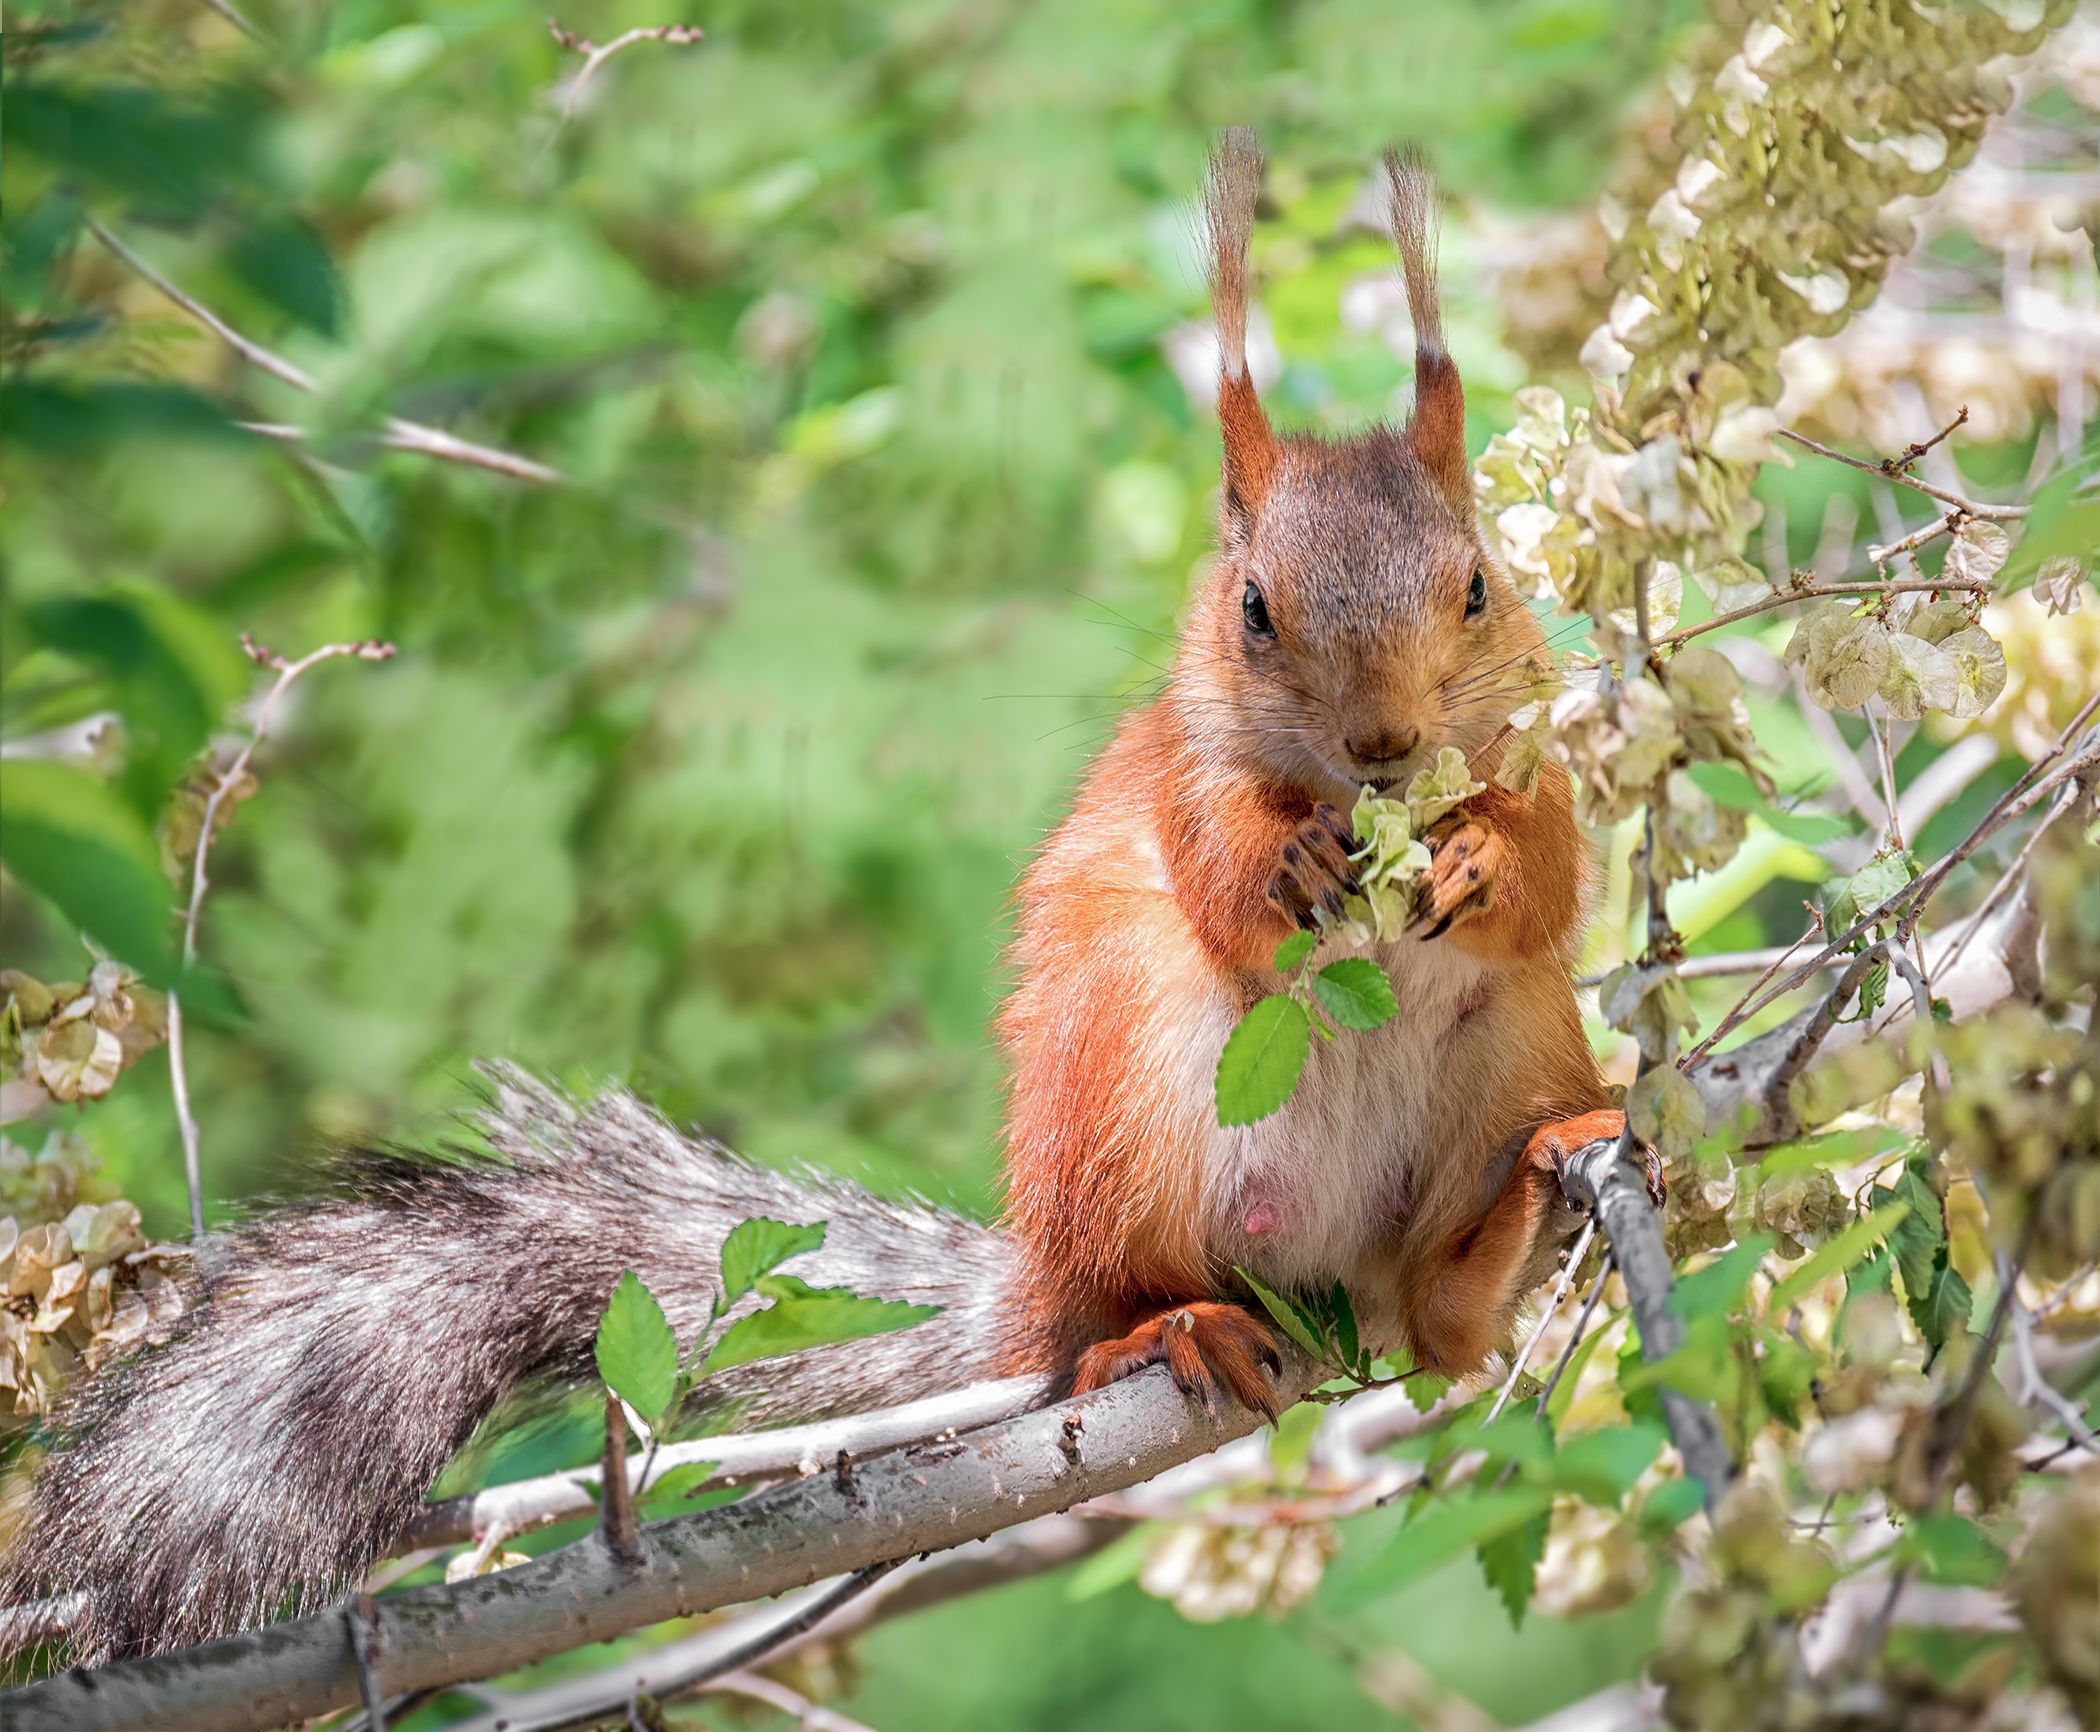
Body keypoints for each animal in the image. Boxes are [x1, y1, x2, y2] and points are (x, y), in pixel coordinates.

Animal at [0, 128, 1629, 1654]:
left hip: (1511, 1051)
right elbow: (1217, 867)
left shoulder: (1545, 762)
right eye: (1252, 611)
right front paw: (1283, 860)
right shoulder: (1175, 766)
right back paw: (1159, 1333)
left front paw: (1480, 853)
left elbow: (1553, 873)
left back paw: (1520, 1200)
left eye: (1478, 586)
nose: (1386, 744)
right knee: (1114, 1307)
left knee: (1439, 1325)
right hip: (1138, 1102)